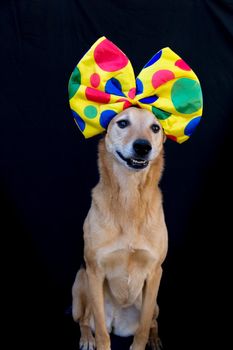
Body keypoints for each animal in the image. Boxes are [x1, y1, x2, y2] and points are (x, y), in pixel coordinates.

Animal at [72, 106, 167, 350]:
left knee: (153, 322)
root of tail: (117, 323)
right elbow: (101, 332)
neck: (129, 198)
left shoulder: (155, 273)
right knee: (85, 319)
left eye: (155, 127)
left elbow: (143, 329)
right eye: (123, 123)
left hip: (155, 304)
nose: (143, 146)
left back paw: (155, 339)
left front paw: (143, 343)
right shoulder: (94, 271)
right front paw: (97, 341)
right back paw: (86, 338)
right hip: (81, 283)